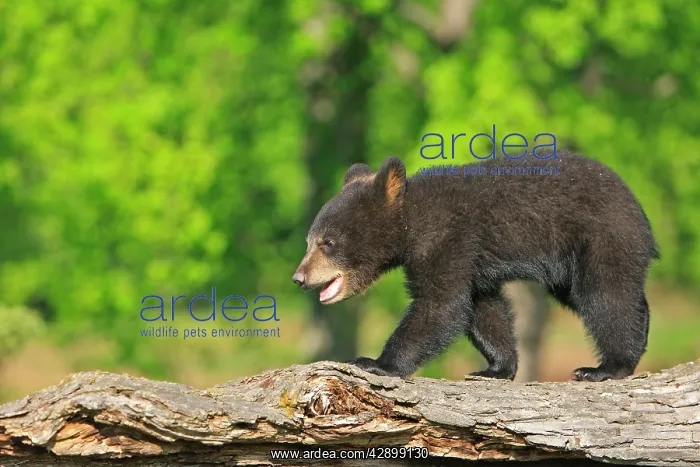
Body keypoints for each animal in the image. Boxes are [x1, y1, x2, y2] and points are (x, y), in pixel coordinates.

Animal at [292, 151, 659, 382]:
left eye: (328, 242)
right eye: (309, 240)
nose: (299, 277)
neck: (411, 222)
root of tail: (639, 208)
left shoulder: (446, 237)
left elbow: (441, 304)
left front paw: (376, 363)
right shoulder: (474, 263)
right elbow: (482, 307)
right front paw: (495, 368)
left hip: (600, 237)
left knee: (606, 296)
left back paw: (608, 366)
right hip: (569, 269)